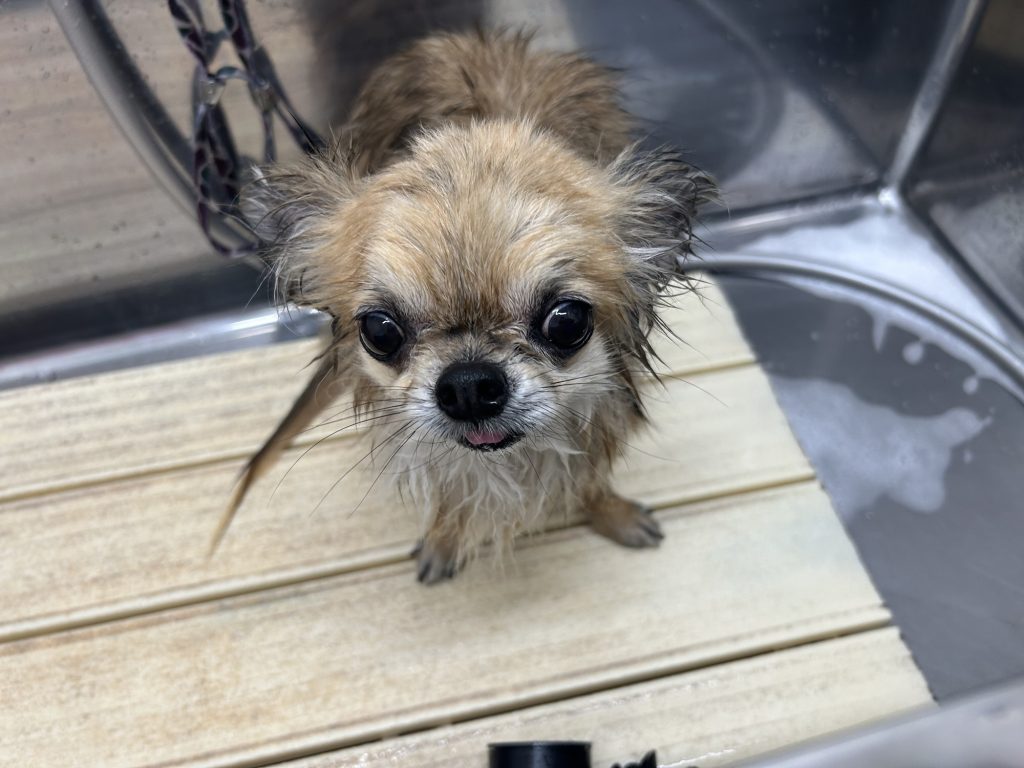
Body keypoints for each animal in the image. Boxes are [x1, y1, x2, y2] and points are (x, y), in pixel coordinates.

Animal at [213, 30, 715, 583]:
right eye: (380, 331)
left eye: (566, 322)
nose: (469, 385)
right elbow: (451, 493)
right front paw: (445, 539)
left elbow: (588, 479)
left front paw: (612, 513)